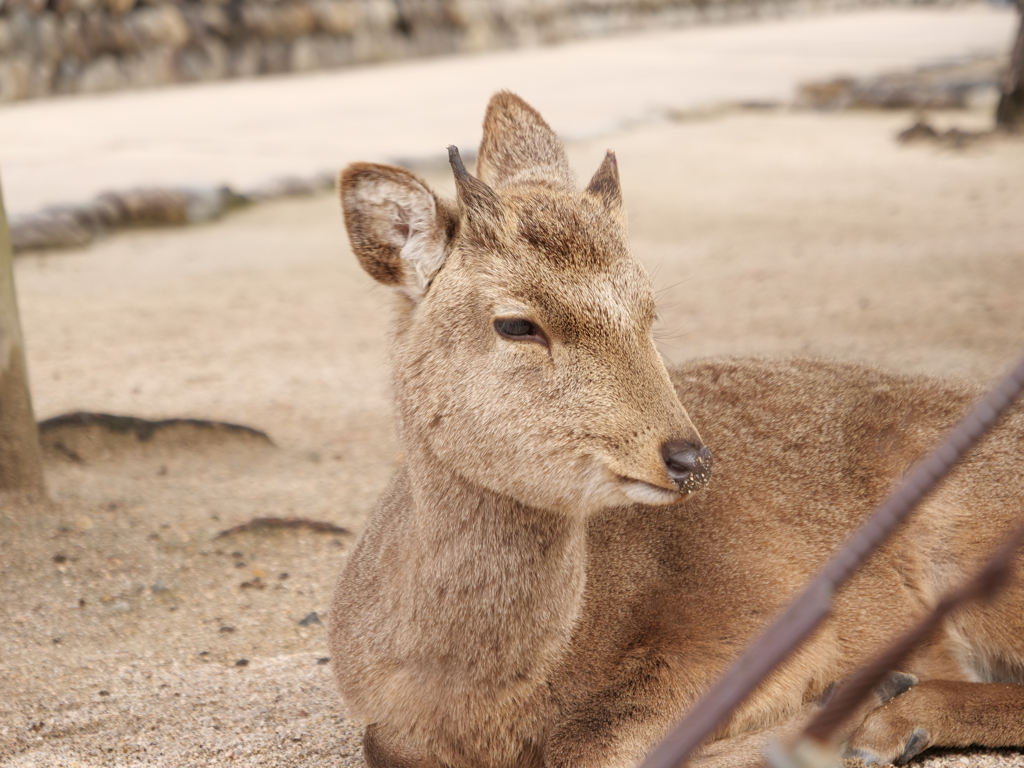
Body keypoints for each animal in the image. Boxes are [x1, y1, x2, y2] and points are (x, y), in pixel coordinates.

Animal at [325, 91, 1024, 768]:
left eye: (649, 310)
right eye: (516, 324)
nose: (688, 457)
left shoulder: (749, 614)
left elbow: (598, 746)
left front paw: (847, 707)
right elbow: (382, 745)